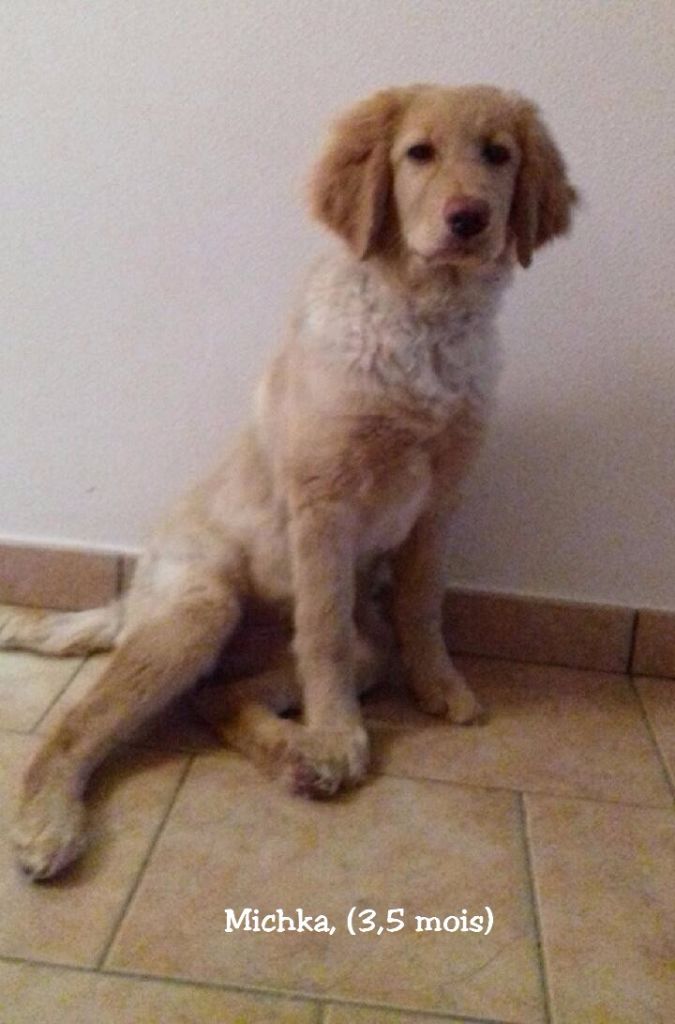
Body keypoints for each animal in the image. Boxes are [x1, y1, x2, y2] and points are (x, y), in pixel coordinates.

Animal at [2, 84, 576, 879]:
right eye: (418, 153)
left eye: (498, 155)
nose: (469, 219)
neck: (424, 322)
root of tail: (133, 594)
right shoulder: (324, 504)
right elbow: (325, 632)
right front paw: (338, 736)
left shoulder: (440, 503)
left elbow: (422, 607)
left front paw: (439, 687)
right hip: (201, 610)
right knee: (78, 722)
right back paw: (48, 822)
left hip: (347, 647)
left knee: (216, 698)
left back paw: (294, 757)